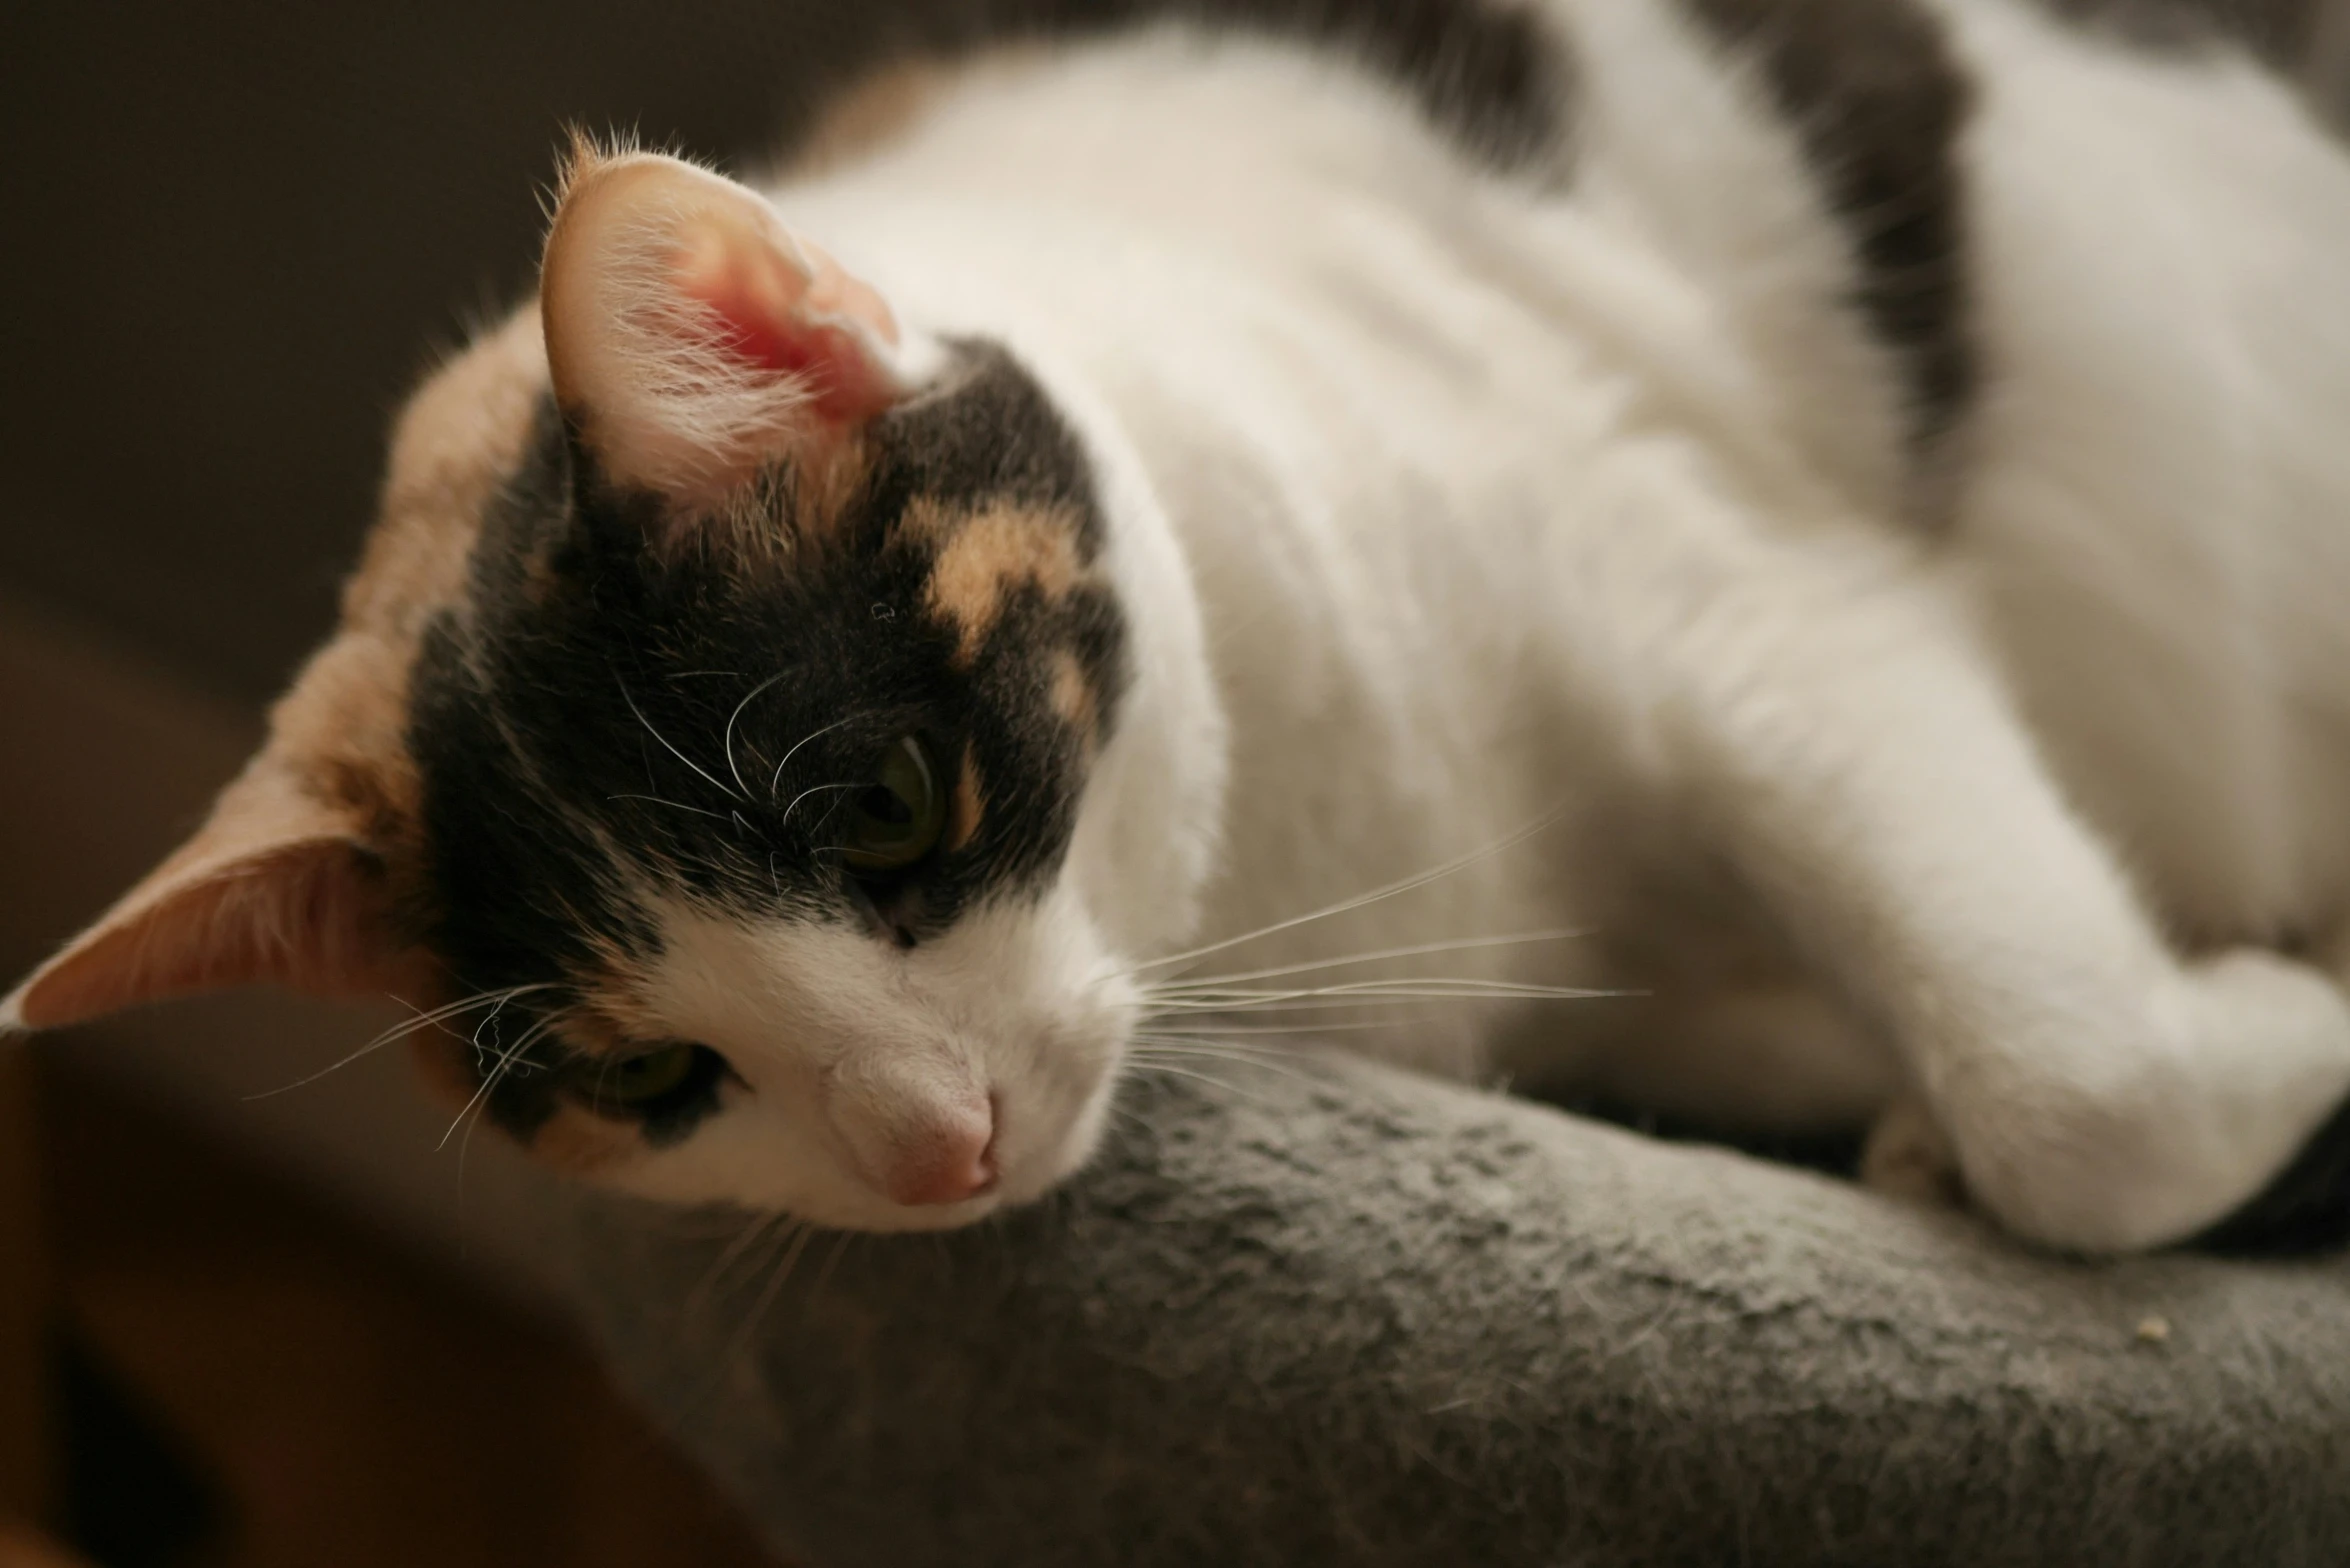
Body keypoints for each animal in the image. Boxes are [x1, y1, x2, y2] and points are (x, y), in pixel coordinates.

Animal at [4, 0, 2350, 1250]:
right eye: (649, 1072)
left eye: (880, 803)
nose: (931, 1148)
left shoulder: (1738, 595)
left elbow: (2073, 1088)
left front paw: (2273, 1016)